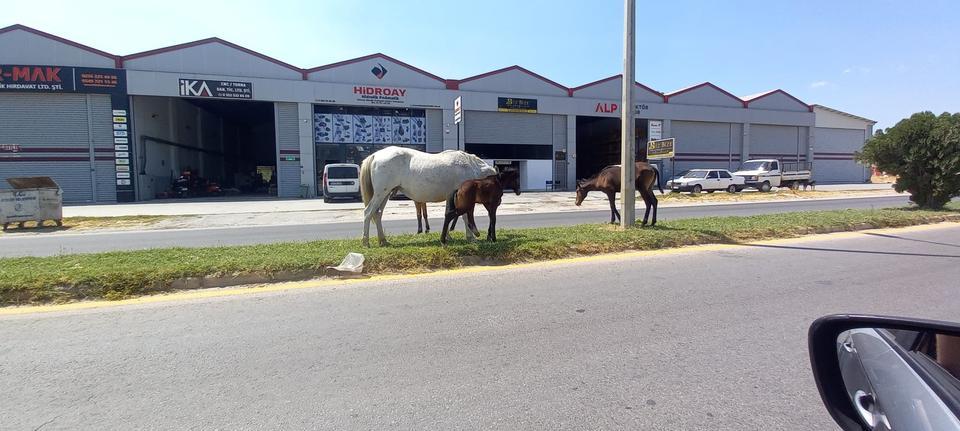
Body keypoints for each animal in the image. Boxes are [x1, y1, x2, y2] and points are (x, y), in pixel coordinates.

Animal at [360, 147, 496, 246]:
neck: (469, 167)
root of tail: (375, 155)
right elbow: (465, 217)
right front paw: (471, 237)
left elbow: (449, 215)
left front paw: (447, 236)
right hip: (381, 193)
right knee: (368, 212)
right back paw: (365, 242)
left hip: (385, 194)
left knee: (377, 214)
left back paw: (383, 240)